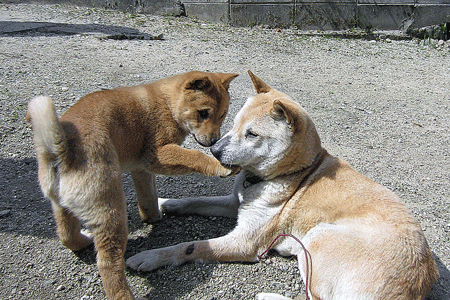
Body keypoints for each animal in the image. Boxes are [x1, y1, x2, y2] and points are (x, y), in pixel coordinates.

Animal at [25, 71, 239, 300]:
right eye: (203, 113)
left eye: (222, 115)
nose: (215, 141)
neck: (166, 103)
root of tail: (61, 149)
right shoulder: (156, 155)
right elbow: (194, 156)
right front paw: (220, 165)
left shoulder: (141, 168)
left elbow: (148, 198)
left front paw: (153, 217)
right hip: (111, 212)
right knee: (108, 264)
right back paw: (123, 293)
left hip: (61, 205)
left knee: (67, 236)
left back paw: (84, 239)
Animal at [127, 72, 440, 300]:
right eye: (233, 123)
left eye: (252, 134)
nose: (214, 150)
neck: (292, 172)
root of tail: (416, 285)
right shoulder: (234, 202)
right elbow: (193, 201)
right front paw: (162, 203)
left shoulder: (245, 242)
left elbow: (188, 247)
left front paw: (149, 257)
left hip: (318, 237)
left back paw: (268, 296)